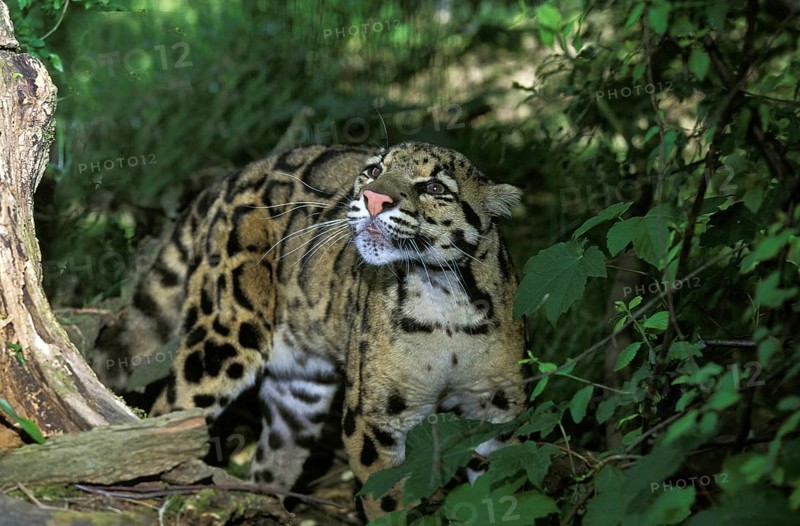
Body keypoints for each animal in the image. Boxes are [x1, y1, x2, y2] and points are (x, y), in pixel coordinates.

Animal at [93, 141, 528, 520]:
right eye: (374, 171)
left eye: (435, 188)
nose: (373, 198)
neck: (442, 301)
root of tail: (237, 174)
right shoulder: (373, 420)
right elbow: (387, 501)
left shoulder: (501, 410)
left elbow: (507, 481)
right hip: (223, 338)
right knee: (168, 414)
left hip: (299, 390)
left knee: (273, 458)